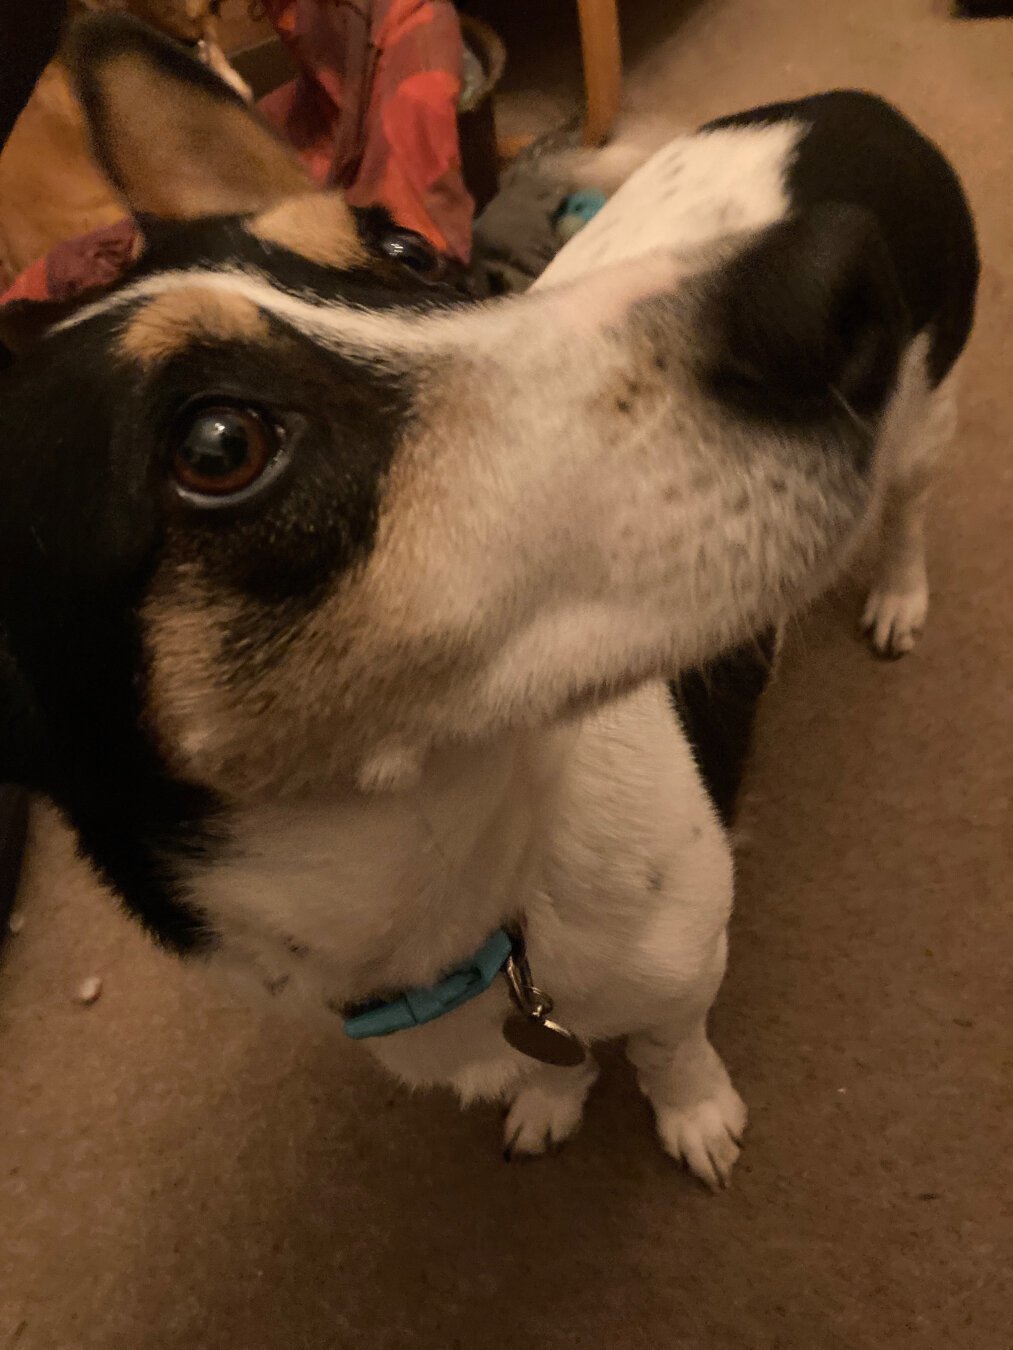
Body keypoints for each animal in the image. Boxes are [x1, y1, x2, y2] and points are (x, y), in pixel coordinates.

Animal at [0, 15, 977, 1188]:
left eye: (405, 252)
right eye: (219, 446)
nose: (834, 277)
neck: (470, 882)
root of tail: (846, 102)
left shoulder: (685, 958)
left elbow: (669, 1042)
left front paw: (693, 1111)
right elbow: (563, 1060)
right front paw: (553, 1098)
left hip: (924, 410)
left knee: (910, 505)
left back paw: (897, 594)